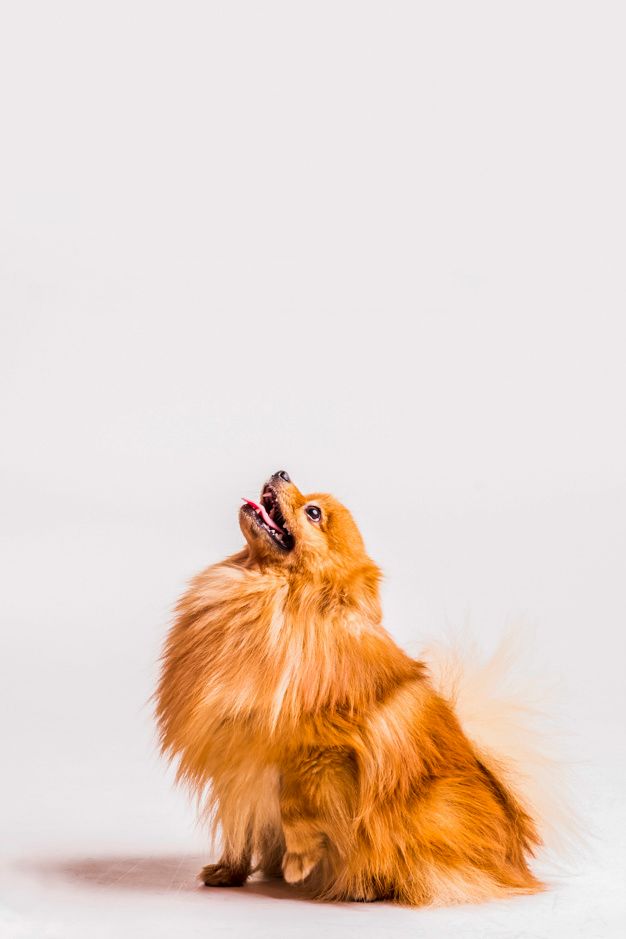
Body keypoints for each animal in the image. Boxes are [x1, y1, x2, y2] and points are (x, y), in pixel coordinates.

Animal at [155, 474, 544, 908]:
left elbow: (296, 807)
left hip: (434, 807)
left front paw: (298, 863)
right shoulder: (235, 759)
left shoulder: (318, 753)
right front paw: (229, 870)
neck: (274, 599)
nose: (281, 472)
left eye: (313, 513)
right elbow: (240, 825)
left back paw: (364, 887)